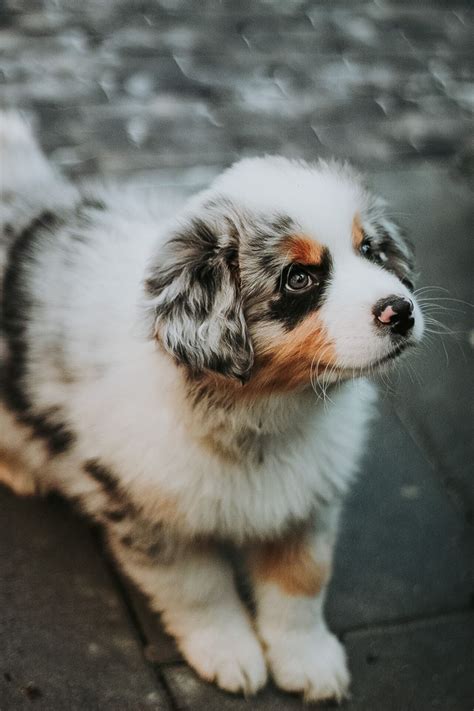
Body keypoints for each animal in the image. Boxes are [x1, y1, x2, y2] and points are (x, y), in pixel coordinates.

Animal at [0, 114, 422, 704]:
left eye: (373, 251)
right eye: (299, 277)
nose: (401, 312)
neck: (262, 409)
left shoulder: (309, 497)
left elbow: (302, 582)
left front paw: (308, 660)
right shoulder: (148, 509)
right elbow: (200, 589)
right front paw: (230, 654)